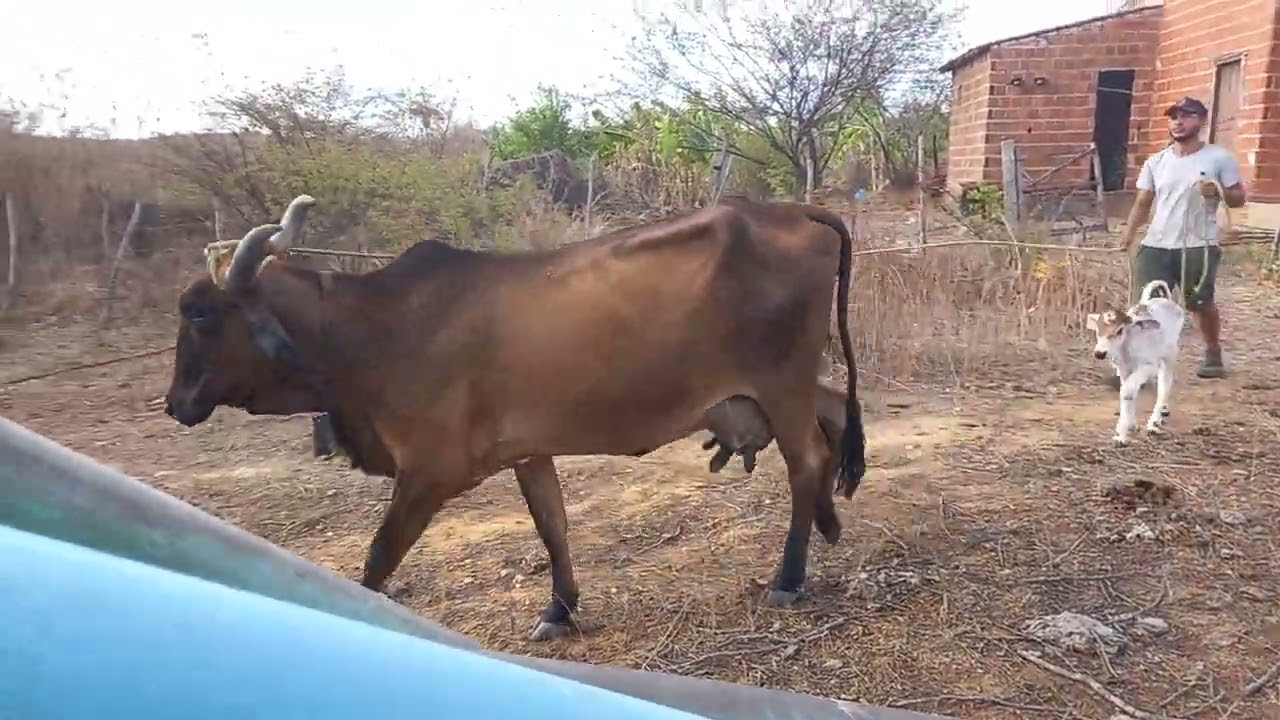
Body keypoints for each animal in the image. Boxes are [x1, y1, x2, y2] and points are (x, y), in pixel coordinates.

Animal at [163, 193, 866, 641]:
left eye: (200, 314)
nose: (174, 403)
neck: (371, 332)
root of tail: (791, 210)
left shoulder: (430, 473)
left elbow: (377, 560)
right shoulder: (528, 451)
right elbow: (552, 526)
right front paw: (560, 611)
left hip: (780, 381)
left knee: (805, 460)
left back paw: (789, 577)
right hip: (778, 388)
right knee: (834, 418)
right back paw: (830, 522)